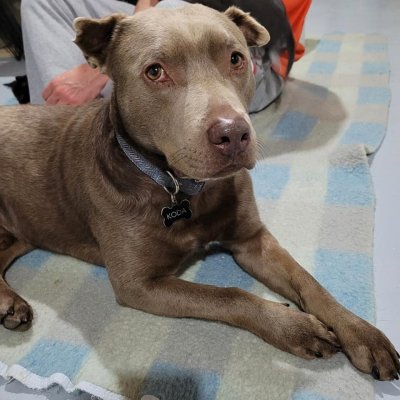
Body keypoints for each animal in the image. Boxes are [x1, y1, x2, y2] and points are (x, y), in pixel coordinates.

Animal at [0, 5, 400, 382]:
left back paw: (9, 303)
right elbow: (228, 294)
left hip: (24, 231)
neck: (181, 188)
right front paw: (295, 327)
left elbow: (308, 281)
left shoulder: (253, 240)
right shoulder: (138, 284)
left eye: (236, 59)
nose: (233, 133)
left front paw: (360, 331)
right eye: (155, 71)